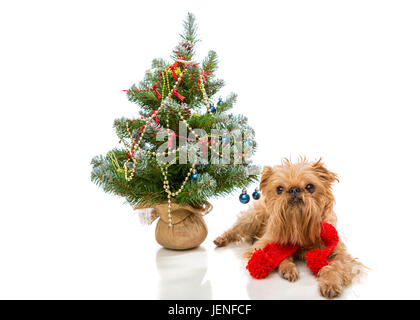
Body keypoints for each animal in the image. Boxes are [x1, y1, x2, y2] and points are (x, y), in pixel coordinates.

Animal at [215, 159, 362, 298]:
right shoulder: (264, 243)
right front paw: (288, 268)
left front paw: (330, 283)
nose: (294, 189)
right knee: (235, 229)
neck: (299, 228)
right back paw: (221, 239)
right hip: (253, 218)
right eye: (279, 189)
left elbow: (336, 266)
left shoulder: (340, 253)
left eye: (310, 187)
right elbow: (279, 254)